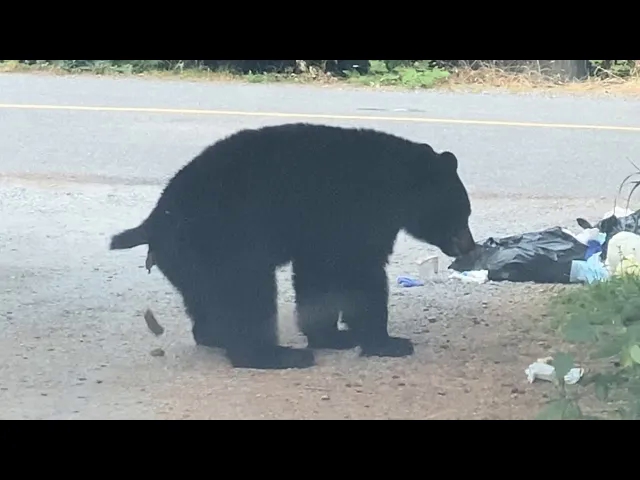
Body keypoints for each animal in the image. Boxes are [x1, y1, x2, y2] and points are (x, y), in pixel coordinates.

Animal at [109, 124, 476, 372]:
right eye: (461, 212)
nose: (470, 246)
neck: (395, 182)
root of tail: (154, 220)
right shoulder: (355, 214)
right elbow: (361, 274)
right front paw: (386, 342)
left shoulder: (321, 233)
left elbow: (318, 276)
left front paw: (333, 337)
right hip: (223, 242)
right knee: (248, 294)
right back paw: (274, 354)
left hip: (192, 261)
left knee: (210, 300)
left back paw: (216, 335)